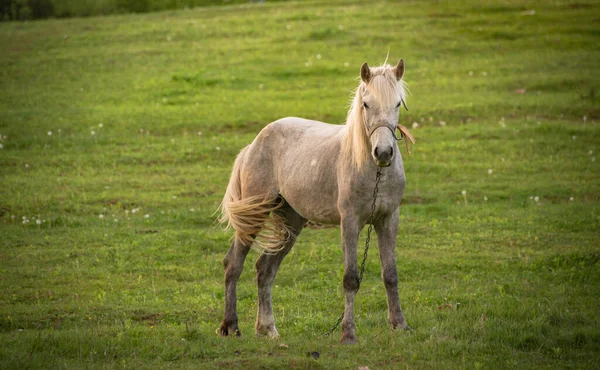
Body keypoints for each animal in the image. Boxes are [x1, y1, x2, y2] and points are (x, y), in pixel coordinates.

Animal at [219, 58, 412, 344]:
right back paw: (230, 326)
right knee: (234, 264)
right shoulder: (350, 222)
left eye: (398, 103)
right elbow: (351, 278)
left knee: (265, 268)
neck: (373, 171)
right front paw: (348, 334)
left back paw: (267, 329)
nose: (384, 152)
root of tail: (253, 144)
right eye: (366, 104)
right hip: (255, 214)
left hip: (291, 222)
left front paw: (400, 325)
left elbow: (390, 274)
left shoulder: (388, 220)